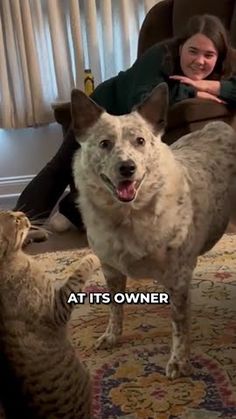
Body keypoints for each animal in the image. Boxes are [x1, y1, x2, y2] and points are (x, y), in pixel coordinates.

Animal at [0, 212, 99, 418]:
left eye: (16, 216)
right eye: (15, 221)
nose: (23, 214)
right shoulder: (57, 306)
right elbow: (79, 272)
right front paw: (91, 256)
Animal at [70, 83, 236, 378]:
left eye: (140, 141)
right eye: (104, 143)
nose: (127, 167)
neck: (129, 216)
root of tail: (220, 126)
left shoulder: (179, 277)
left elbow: (179, 322)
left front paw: (179, 361)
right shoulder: (110, 269)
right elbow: (115, 307)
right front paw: (111, 336)